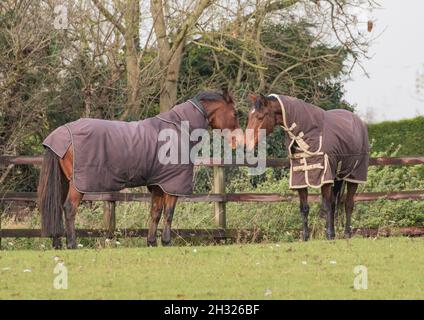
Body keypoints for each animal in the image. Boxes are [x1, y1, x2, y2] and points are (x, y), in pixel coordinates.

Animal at [38, 89, 243, 249]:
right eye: (235, 114)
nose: (238, 142)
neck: (178, 130)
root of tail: (61, 135)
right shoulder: (172, 186)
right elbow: (169, 214)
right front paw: (167, 242)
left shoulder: (158, 184)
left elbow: (155, 213)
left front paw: (151, 242)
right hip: (78, 185)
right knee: (69, 208)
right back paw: (72, 244)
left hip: (63, 182)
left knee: (56, 207)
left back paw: (57, 244)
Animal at [243, 92, 370, 240]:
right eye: (249, 116)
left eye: (260, 117)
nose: (246, 144)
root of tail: (359, 122)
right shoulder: (300, 177)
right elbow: (304, 207)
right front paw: (305, 236)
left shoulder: (324, 177)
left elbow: (326, 206)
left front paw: (328, 235)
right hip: (338, 176)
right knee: (335, 203)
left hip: (353, 176)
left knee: (348, 204)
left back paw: (346, 234)